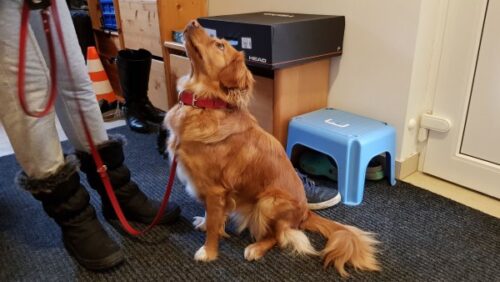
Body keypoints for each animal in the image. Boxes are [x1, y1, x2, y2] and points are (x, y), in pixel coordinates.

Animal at [164, 20, 378, 278]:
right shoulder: (209, 190)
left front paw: (209, 251)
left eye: (220, 45)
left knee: (279, 236)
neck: (203, 104)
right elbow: (211, 216)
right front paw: (205, 223)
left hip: (267, 202)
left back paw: (256, 248)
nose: (193, 22)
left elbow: (215, 225)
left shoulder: (215, 189)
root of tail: (305, 212)